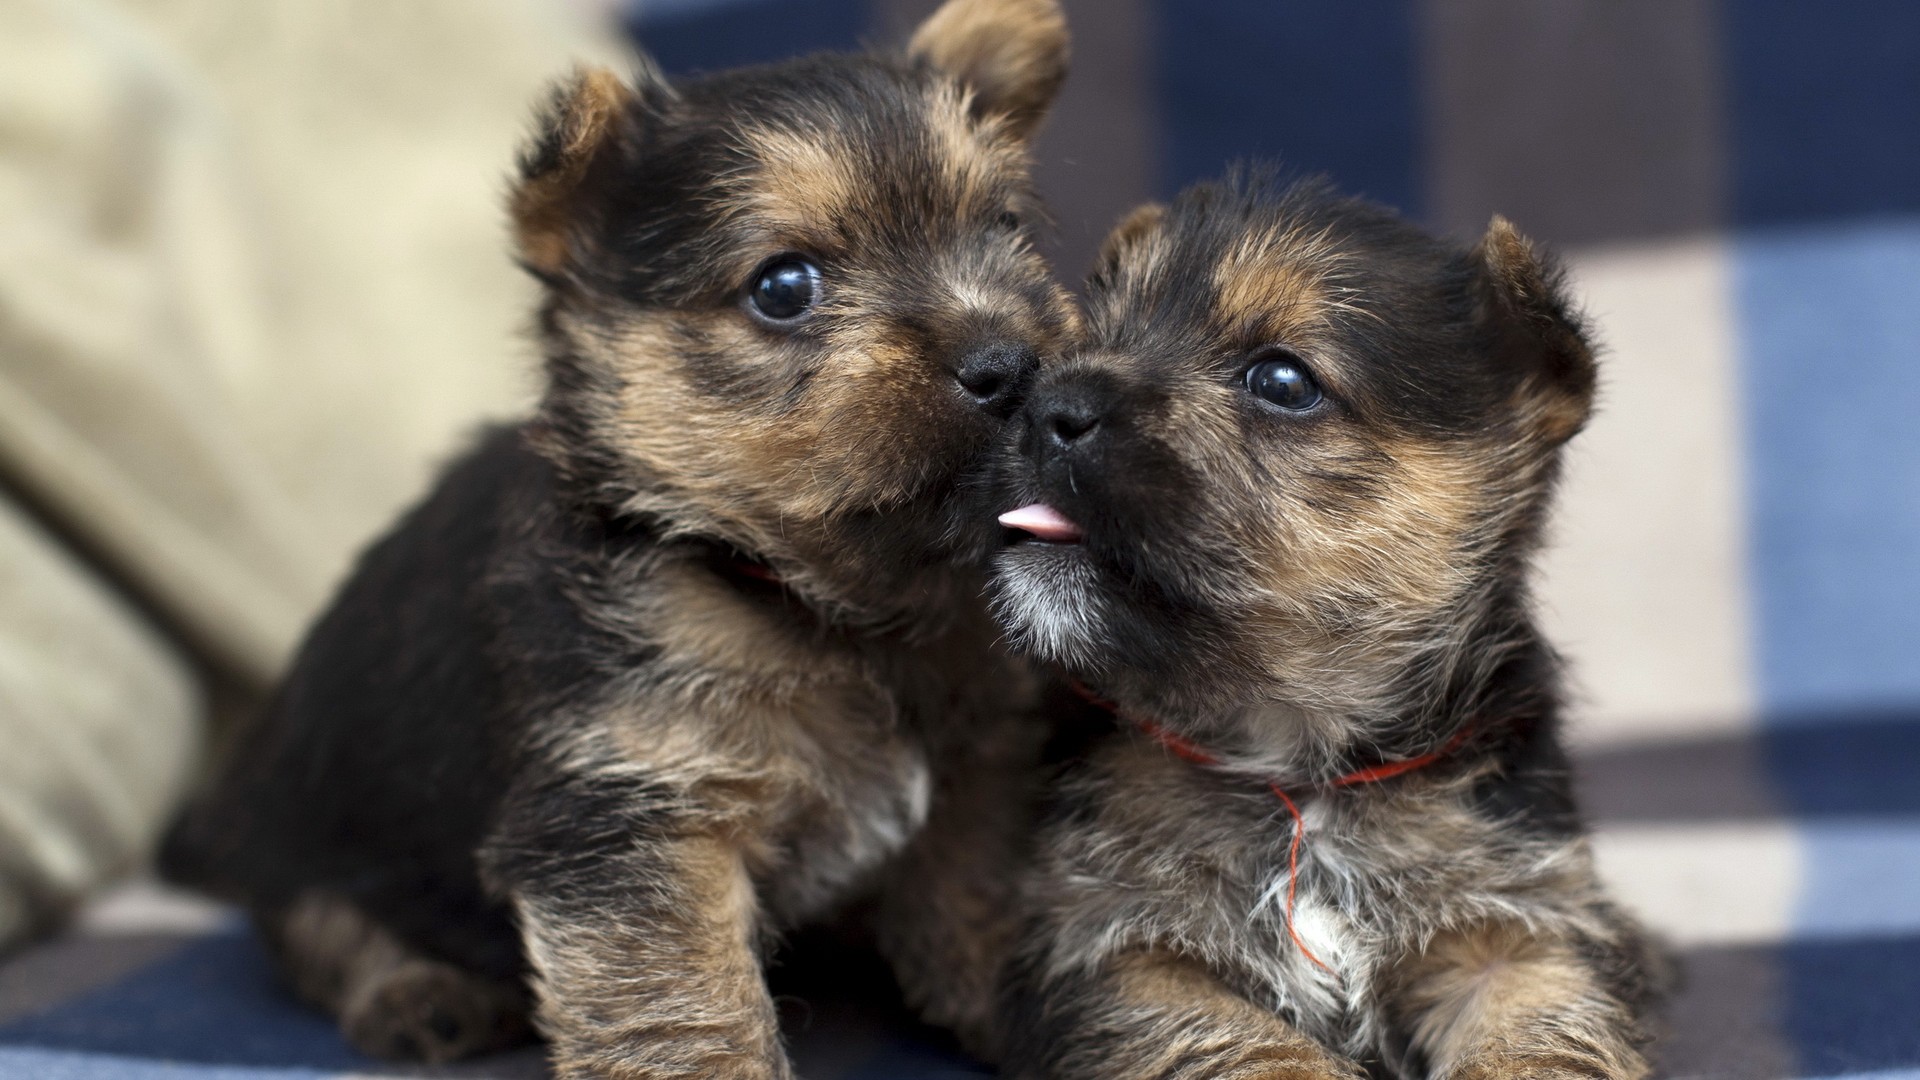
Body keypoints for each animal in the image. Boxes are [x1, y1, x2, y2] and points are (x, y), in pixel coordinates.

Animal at [165, 4, 1082, 1068]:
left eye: (1006, 230)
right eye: (784, 287)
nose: (1009, 362)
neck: (805, 595)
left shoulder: (977, 769)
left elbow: (977, 905)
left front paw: (1031, 1018)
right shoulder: (635, 810)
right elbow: (683, 1008)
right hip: (310, 826)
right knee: (322, 926)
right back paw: (419, 993)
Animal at [990, 176, 1666, 1076]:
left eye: (1282, 380)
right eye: (1089, 339)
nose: (1047, 405)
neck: (1299, 776)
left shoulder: (1515, 934)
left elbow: (1537, 1039)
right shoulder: (1117, 949)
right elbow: (1252, 1047)